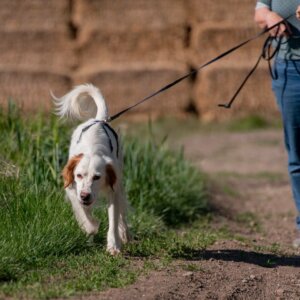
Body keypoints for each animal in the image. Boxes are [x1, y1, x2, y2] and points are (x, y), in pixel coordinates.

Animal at [54, 83, 129, 254]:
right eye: (79, 175)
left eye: (97, 177)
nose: (85, 196)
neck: (92, 148)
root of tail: (99, 119)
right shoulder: (72, 188)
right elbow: (82, 211)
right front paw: (91, 226)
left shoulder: (113, 189)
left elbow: (114, 218)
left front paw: (113, 245)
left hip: (119, 181)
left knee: (122, 209)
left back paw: (124, 232)